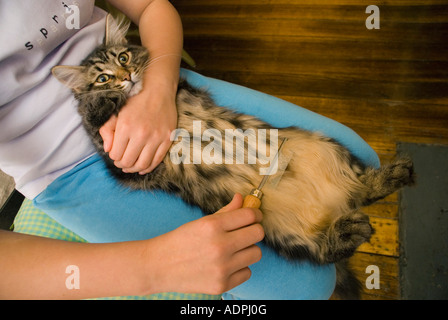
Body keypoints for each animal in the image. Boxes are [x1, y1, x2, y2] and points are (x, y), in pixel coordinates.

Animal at [51, 15, 412, 300]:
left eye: (124, 58)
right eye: (103, 77)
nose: (125, 79)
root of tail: (336, 203)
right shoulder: (134, 169)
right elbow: (93, 120)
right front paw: (100, 101)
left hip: (326, 147)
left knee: (363, 189)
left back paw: (396, 176)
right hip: (287, 236)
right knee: (328, 246)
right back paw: (356, 225)